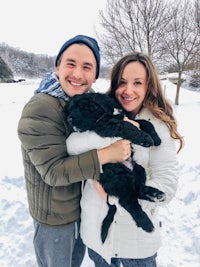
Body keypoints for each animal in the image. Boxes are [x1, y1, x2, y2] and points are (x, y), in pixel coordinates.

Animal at [64, 93, 166, 244]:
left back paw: (155, 194)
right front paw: (146, 139)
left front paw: (156, 138)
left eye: (82, 107)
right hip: (118, 176)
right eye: (70, 110)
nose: (70, 120)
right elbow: (126, 126)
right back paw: (146, 223)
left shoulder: (127, 118)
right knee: (127, 201)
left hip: (138, 169)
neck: (107, 112)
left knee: (137, 189)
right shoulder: (105, 126)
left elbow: (144, 122)